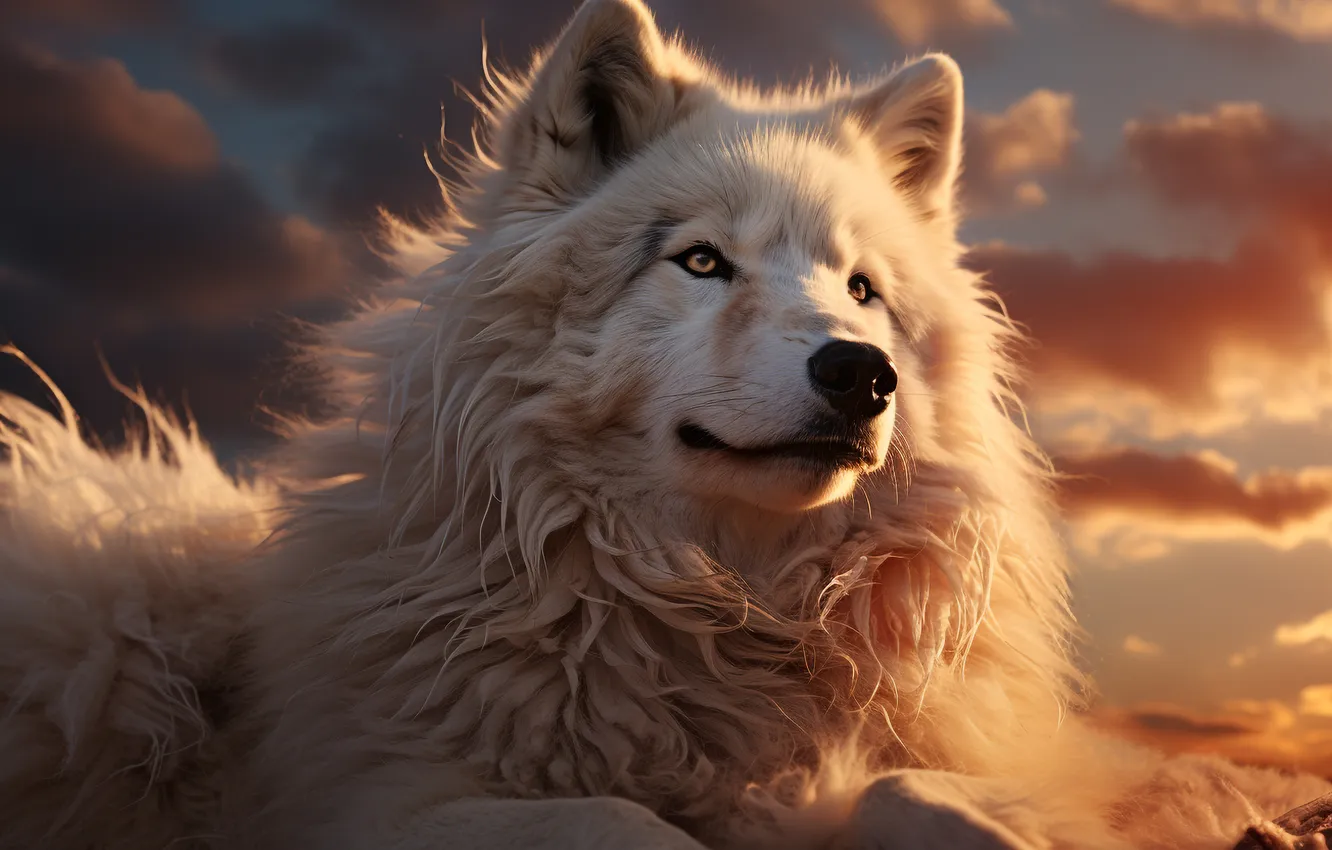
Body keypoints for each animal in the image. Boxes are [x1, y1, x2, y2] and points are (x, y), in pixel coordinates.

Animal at [1, 1, 1328, 848]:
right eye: (700, 261)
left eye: (861, 290)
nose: (862, 376)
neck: (718, 609)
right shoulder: (379, 799)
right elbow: (620, 820)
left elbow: (921, 797)